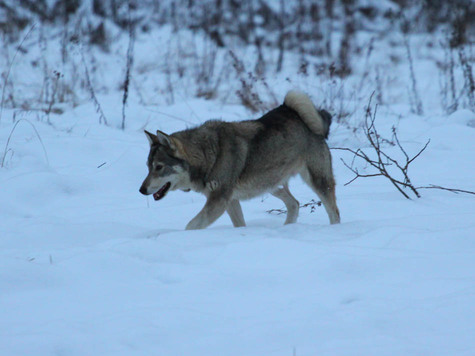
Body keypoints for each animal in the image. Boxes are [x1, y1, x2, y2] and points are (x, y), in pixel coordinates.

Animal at [139, 91, 340, 231]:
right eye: (148, 167)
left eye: (159, 167)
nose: (141, 190)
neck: (208, 156)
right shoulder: (230, 201)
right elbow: (239, 225)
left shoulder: (219, 201)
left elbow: (191, 225)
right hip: (270, 184)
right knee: (294, 204)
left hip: (317, 181)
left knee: (334, 212)